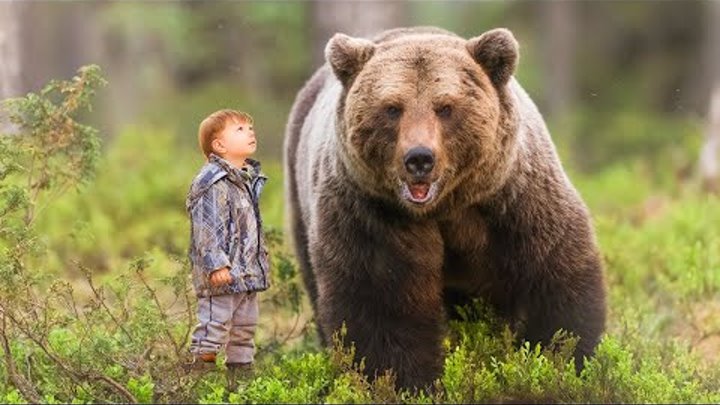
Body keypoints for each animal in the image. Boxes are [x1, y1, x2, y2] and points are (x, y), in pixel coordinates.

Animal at [283, 26, 606, 389]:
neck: (445, 207)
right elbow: (382, 305)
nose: (419, 158)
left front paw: (561, 360)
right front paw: (406, 381)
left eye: (445, 107)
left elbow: (554, 280)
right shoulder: (373, 216)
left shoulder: (513, 202)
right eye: (392, 108)